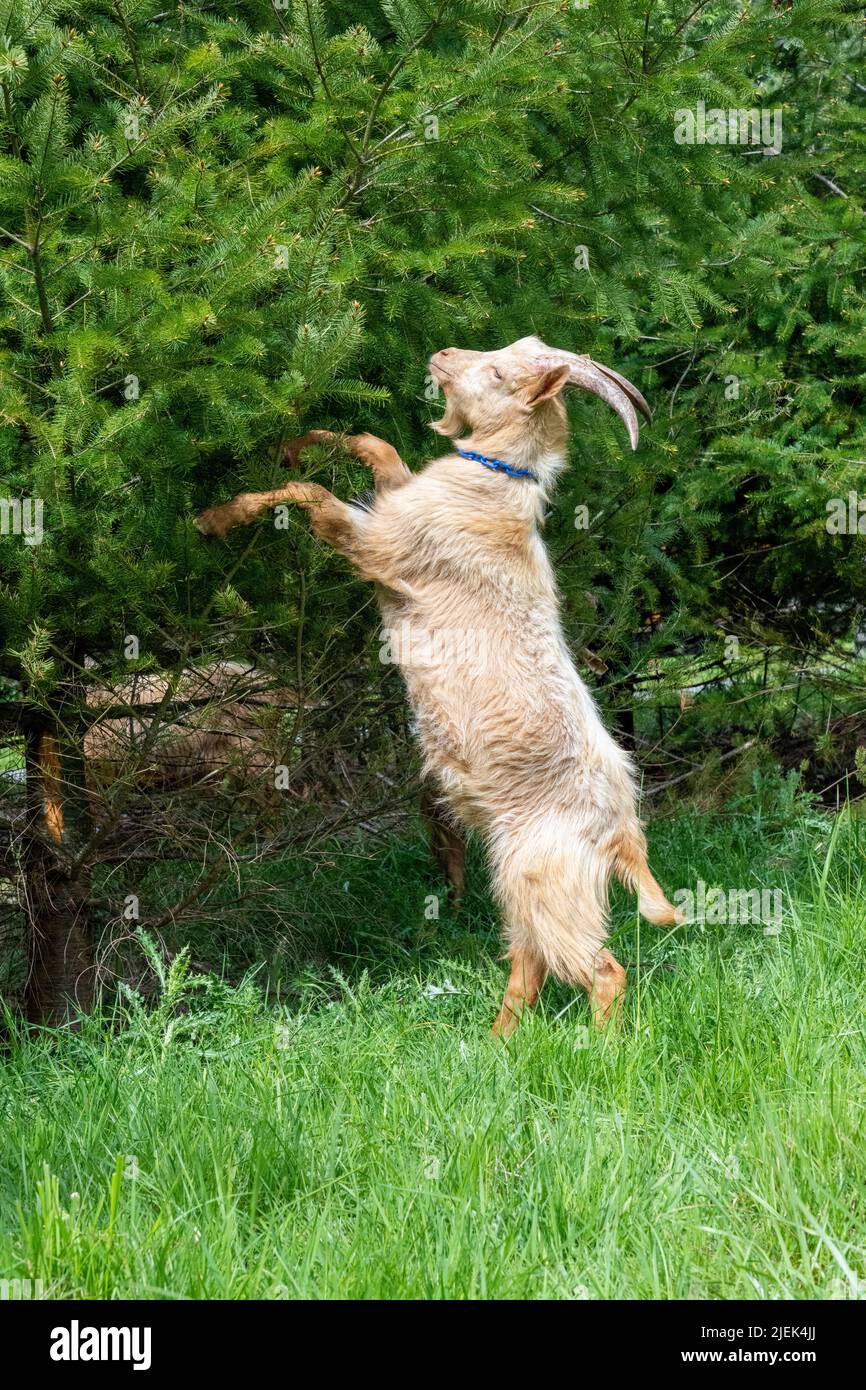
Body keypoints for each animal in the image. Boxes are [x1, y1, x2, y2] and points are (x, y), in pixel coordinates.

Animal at [196, 336, 682, 1035]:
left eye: (501, 371)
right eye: (509, 349)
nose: (444, 353)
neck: (492, 487)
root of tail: (621, 833)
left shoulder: (380, 546)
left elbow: (312, 494)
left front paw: (214, 518)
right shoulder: (392, 503)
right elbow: (376, 446)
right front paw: (294, 442)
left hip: (545, 876)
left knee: (600, 969)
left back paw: (596, 1046)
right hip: (518, 879)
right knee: (528, 963)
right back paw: (497, 1044)